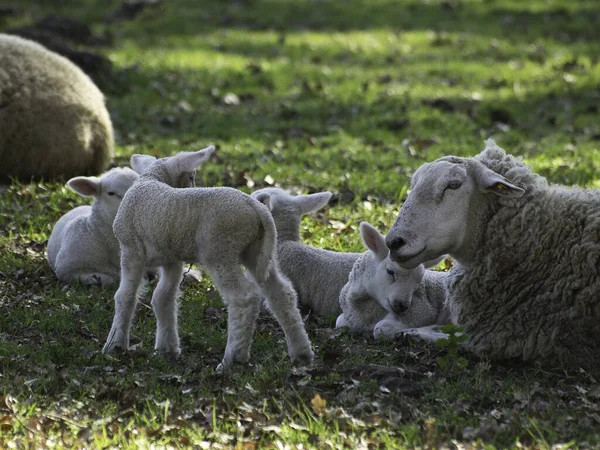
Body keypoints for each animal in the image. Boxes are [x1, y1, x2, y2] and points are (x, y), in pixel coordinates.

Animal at [103, 146, 316, 370]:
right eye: (190, 176)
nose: (193, 184)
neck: (151, 178)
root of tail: (257, 208)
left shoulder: (130, 250)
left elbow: (125, 296)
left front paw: (115, 345)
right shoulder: (172, 258)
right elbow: (163, 298)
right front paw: (167, 349)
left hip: (220, 251)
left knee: (244, 298)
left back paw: (233, 359)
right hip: (258, 252)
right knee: (282, 293)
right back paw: (301, 353)